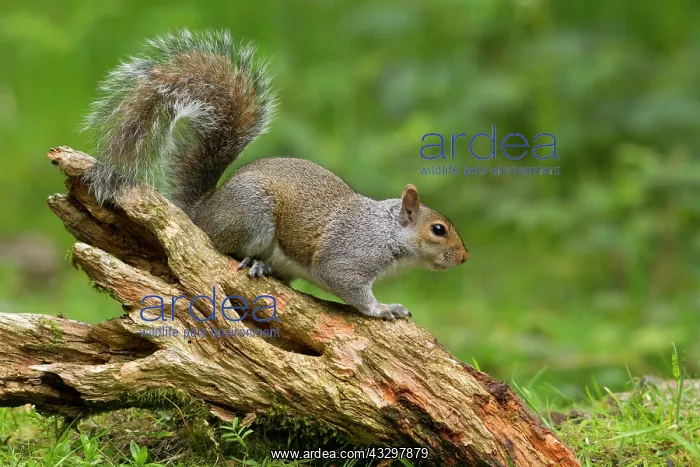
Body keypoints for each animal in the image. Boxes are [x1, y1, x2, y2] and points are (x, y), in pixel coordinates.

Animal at [82, 29, 469, 320]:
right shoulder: (347, 257)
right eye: (438, 229)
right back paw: (253, 262)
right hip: (252, 216)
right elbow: (349, 286)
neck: (386, 231)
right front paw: (385, 309)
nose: (465, 258)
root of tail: (205, 210)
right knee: (222, 247)